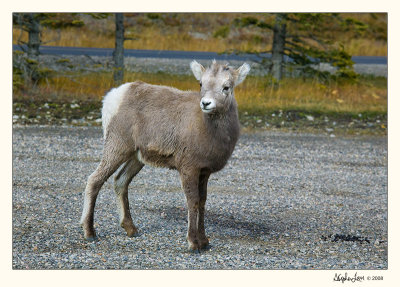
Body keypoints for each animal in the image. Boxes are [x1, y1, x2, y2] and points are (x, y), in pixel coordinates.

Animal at [79, 60, 250, 252]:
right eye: (201, 84)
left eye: (226, 87)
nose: (206, 103)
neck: (210, 131)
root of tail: (113, 98)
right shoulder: (188, 168)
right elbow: (193, 201)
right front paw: (193, 243)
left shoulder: (204, 172)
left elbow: (203, 202)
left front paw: (205, 241)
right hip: (117, 147)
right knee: (95, 180)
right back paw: (90, 232)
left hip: (136, 157)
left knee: (120, 181)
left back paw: (131, 229)